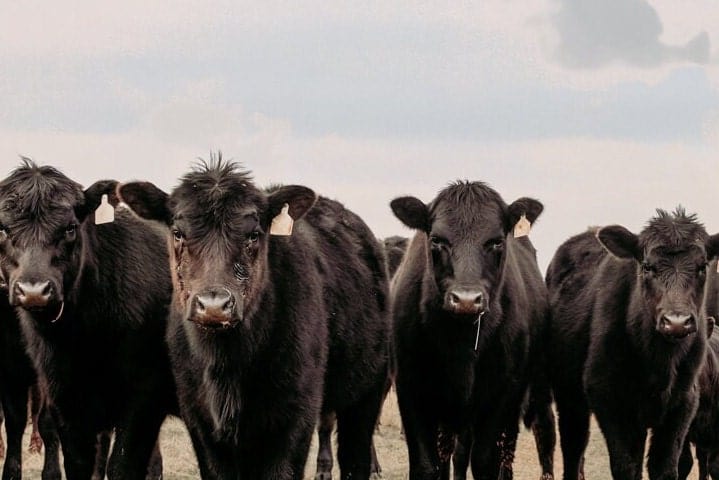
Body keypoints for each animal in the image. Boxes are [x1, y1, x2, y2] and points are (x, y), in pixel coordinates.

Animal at [0, 162, 176, 480]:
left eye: (70, 227)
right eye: (3, 228)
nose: (34, 290)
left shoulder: (141, 397)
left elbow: (121, 465)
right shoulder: (59, 395)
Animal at [119, 159, 388, 478]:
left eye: (253, 234)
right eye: (177, 233)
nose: (214, 305)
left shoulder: (295, 418)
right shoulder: (201, 423)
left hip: (366, 393)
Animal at [388, 181, 552, 480]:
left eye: (496, 241)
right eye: (437, 240)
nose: (466, 299)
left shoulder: (501, 395)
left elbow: (485, 461)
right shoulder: (411, 389)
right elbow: (427, 464)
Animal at [548, 211, 716, 480]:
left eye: (702, 267)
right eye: (647, 266)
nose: (676, 322)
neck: (659, 362)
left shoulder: (683, 404)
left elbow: (665, 467)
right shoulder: (609, 400)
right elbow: (625, 466)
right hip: (569, 395)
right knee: (573, 448)